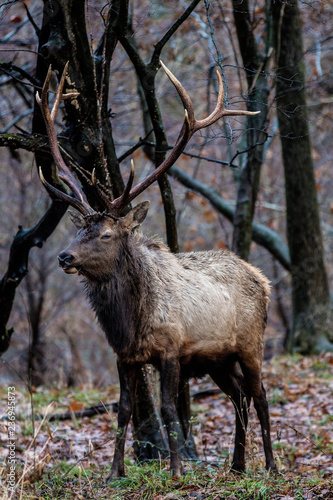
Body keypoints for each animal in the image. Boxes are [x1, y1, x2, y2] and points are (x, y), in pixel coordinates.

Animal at [35, 62, 274, 480]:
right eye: (79, 229)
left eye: (107, 234)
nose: (64, 257)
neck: (132, 323)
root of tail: (263, 280)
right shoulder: (124, 356)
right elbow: (126, 411)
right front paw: (115, 472)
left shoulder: (171, 349)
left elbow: (167, 409)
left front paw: (176, 471)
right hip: (218, 359)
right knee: (240, 396)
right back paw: (237, 465)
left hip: (250, 344)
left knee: (260, 396)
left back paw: (273, 467)